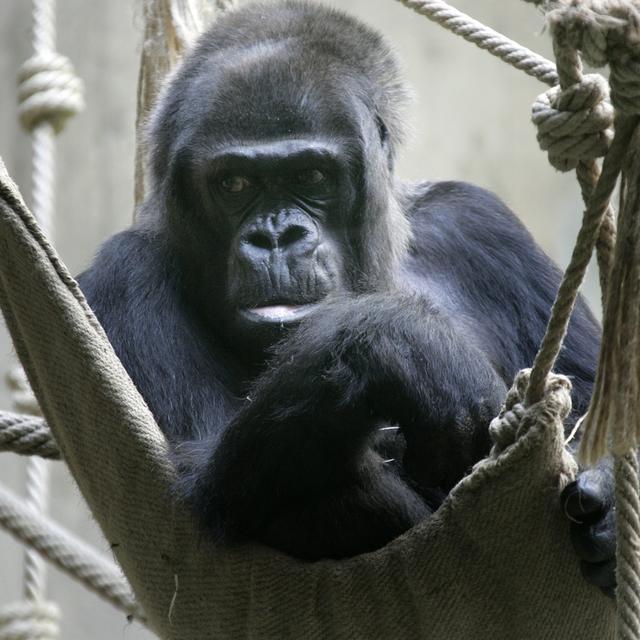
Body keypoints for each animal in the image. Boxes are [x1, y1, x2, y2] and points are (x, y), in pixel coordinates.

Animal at [77, 0, 616, 592]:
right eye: (235, 184)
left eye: (312, 175)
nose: (276, 236)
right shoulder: (125, 277)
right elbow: (201, 484)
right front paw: (409, 348)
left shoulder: (479, 223)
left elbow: (594, 407)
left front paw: (606, 500)